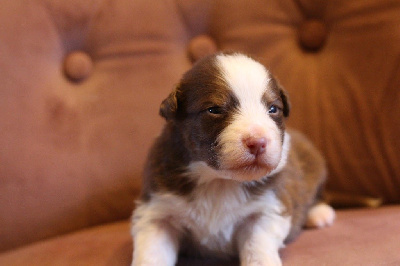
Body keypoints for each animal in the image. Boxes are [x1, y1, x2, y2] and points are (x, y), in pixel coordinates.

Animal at [131, 52, 334, 266]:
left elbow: (257, 248)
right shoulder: (157, 211)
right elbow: (152, 252)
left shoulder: (267, 209)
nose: (258, 142)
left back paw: (319, 213)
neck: (219, 181)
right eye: (214, 109)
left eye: (273, 109)